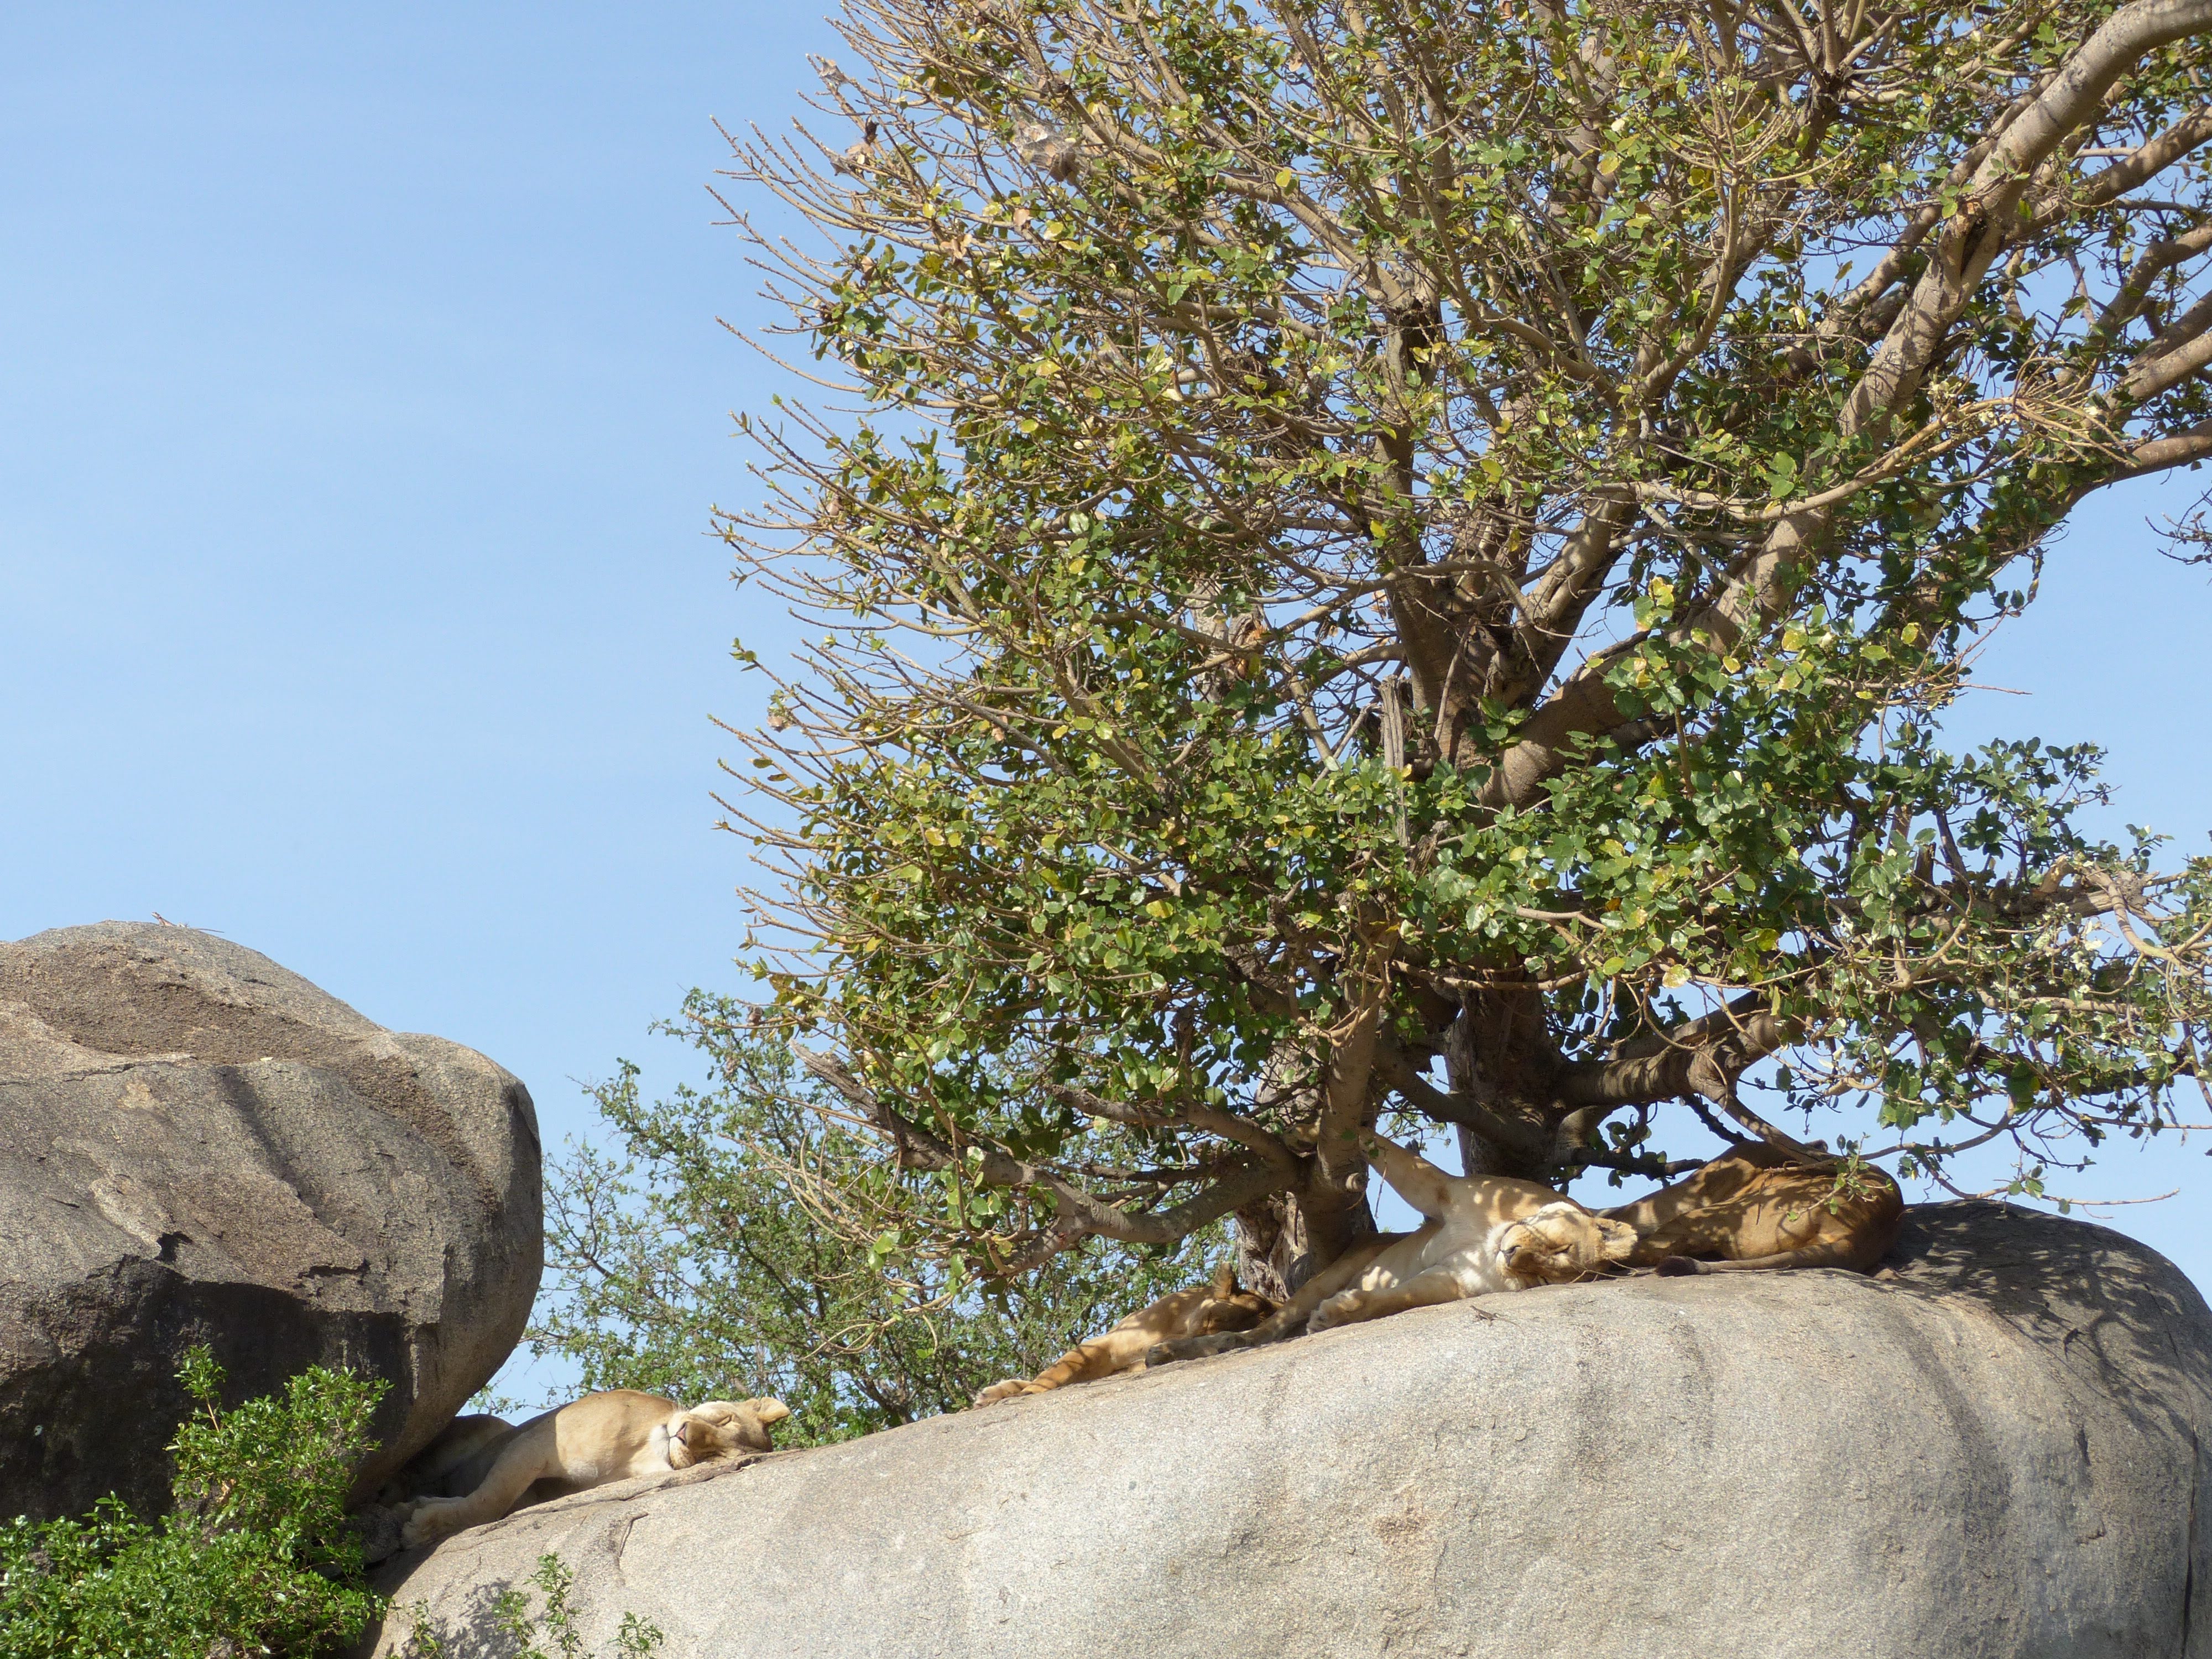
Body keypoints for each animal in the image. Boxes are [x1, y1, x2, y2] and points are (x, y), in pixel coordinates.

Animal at [394, 1389, 790, 1551]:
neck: (638, 1455)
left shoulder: (542, 1484)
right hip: (490, 1429)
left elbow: (497, 1502)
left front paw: (421, 1516)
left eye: (714, 1458)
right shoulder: (537, 1443)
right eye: (725, 1419)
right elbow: (492, 1499)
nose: (684, 1435)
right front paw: (419, 1526)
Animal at [971, 1264, 1275, 1407]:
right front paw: (1026, 1392)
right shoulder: (1105, 1344)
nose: (1159, 1348)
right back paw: (993, 1394)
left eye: (1218, 1336)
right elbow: (1058, 1372)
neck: (1179, 1326)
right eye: (1209, 1320)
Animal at [1149, 1130, 1639, 1367]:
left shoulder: (1452, 1281)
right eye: (1558, 1248)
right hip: (1330, 1272)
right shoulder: (1443, 1192)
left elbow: (1397, 1298)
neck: (1489, 1242)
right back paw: (1178, 1351)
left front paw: (1339, 1315)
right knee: (1265, 1331)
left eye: (1545, 1274)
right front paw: (1305, 1129)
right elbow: (1385, 1150)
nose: (1513, 1256)